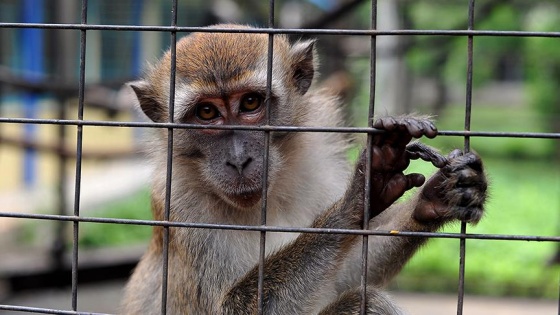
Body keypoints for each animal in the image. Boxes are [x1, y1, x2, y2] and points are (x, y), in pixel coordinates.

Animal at [121, 25, 486, 315]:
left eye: (251, 103)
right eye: (207, 112)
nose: (238, 160)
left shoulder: (320, 162)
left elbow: (348, 272)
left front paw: (434, 199)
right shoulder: (180, 204)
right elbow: (231, 307)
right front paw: (363, 192)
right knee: (366, 303)